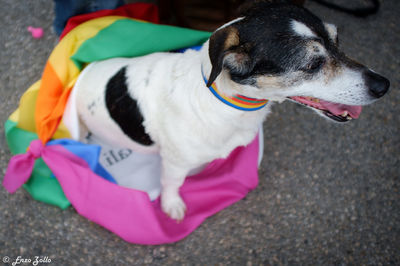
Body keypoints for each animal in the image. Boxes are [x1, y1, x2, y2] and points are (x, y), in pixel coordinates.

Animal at [73, 0, 390, 220]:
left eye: (337, 41)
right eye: (312, 64)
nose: (384, 85)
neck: (224, 103)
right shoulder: (174, 163)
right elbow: (171, 184)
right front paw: (171, 205)